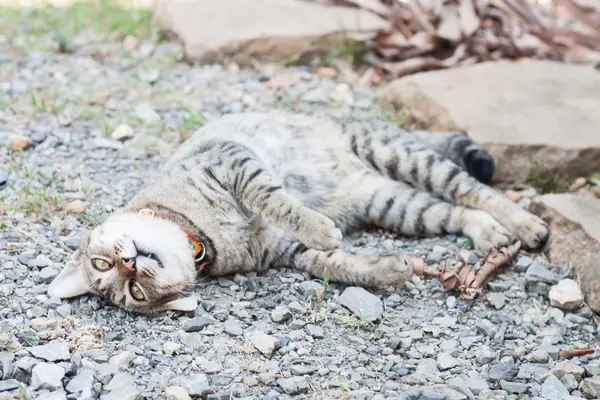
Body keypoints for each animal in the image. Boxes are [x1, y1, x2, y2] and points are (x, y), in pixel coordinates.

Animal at [49, 111, 552, 314]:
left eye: (102, 263)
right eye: (132, 292)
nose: (129, 264)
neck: (201, 237)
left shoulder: (232, 161)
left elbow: (275, 199)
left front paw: (321, 226)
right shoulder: (289, 253)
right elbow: (342, 266)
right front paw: (390, 270)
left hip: (400, 156)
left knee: (475, 191)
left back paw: (527, 225)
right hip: (397, 205)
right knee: (456, 211)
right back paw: (490, 235)